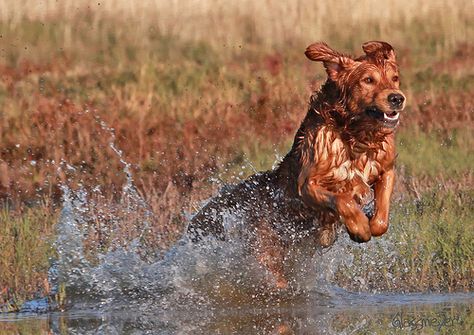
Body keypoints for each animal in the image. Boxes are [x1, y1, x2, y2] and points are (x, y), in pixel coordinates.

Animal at [187, 41, 406, 288]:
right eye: (368, 80)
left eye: (395, 78)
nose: (397, 98)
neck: (355, 136)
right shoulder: (307, 186)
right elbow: (343, 200)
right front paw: (359, 227)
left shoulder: (386, 169)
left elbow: (382, 217)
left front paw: (369, 222)